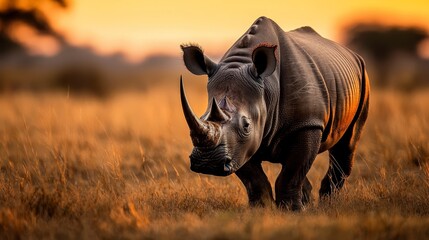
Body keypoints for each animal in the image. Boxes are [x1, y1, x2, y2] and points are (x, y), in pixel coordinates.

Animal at [179, 16, 370, 210]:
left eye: (246, 125)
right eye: (201, 117)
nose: (207, 163)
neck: (267, 90)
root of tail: (352, 54)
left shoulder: (307, 124)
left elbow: (291, 174)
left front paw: (291, 210)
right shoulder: (238, 147)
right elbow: (255, 179)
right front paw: (261, 209)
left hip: (363, 78)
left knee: (347, 146)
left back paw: (327, 205)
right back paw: (309, 203)